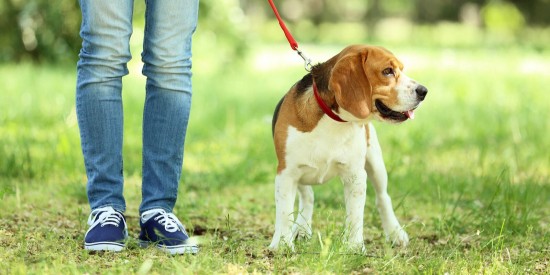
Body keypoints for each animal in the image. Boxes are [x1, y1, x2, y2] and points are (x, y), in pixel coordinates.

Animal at [270, 45, 430, 252]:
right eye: (388, 71)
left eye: (402, 69)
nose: (424, 91)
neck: (333, 120)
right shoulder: (286, 173)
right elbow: (284, 212)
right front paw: (281, 244)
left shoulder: (355, 175)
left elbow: (355, 215)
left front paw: (354, 246)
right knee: (308, 196)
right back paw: (303, 229)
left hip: (375, 163)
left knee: (383, 198)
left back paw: (395, 233)